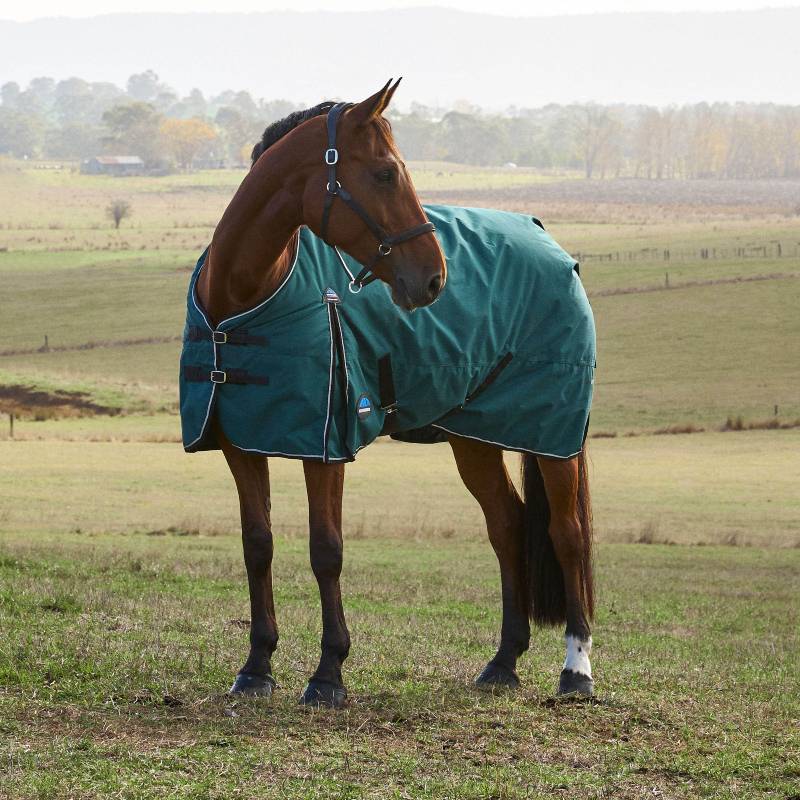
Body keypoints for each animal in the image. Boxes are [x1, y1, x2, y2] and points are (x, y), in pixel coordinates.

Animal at [186, 80, 595, 708]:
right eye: (384, 173)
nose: (433, 278)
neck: (246, 293)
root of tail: (548, 241)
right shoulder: (241, 442)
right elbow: (258, 546)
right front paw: (256, 667)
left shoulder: (325, 447)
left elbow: (326, 551)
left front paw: (328, 673)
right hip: (474, 437)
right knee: (507, 527)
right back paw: (503, 661)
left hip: (552, 437)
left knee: (566, 534)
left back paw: (577, 670)